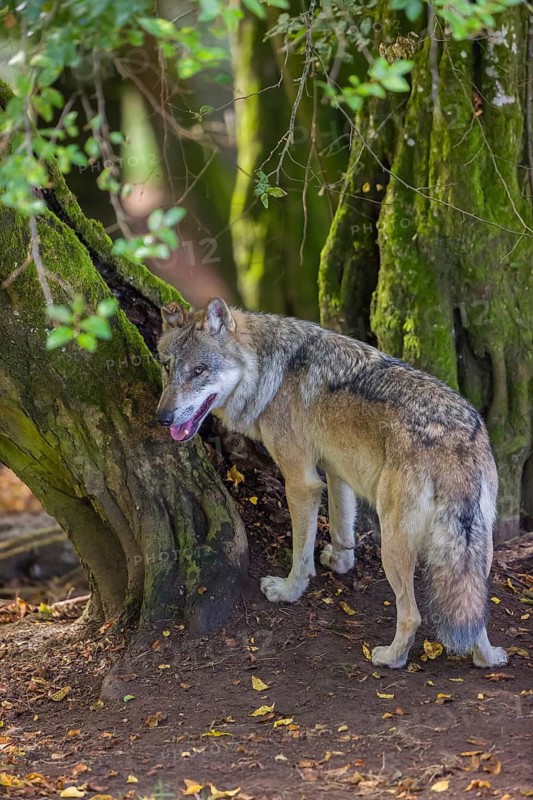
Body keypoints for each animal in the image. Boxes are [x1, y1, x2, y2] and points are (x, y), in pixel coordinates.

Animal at [156, 297, 508, 669]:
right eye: (167, 367)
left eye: (198, 371)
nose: (161, 418)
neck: (269, 372)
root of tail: (455, 438)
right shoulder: (337, 472)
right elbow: (341, 527)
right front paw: (341, 564)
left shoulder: (301, 482)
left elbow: (301, 551)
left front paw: (289, 591)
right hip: (476, 553)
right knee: (475, 613)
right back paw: (489, 658)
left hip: (393, 542)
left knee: (412, 614)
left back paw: (391, 658)